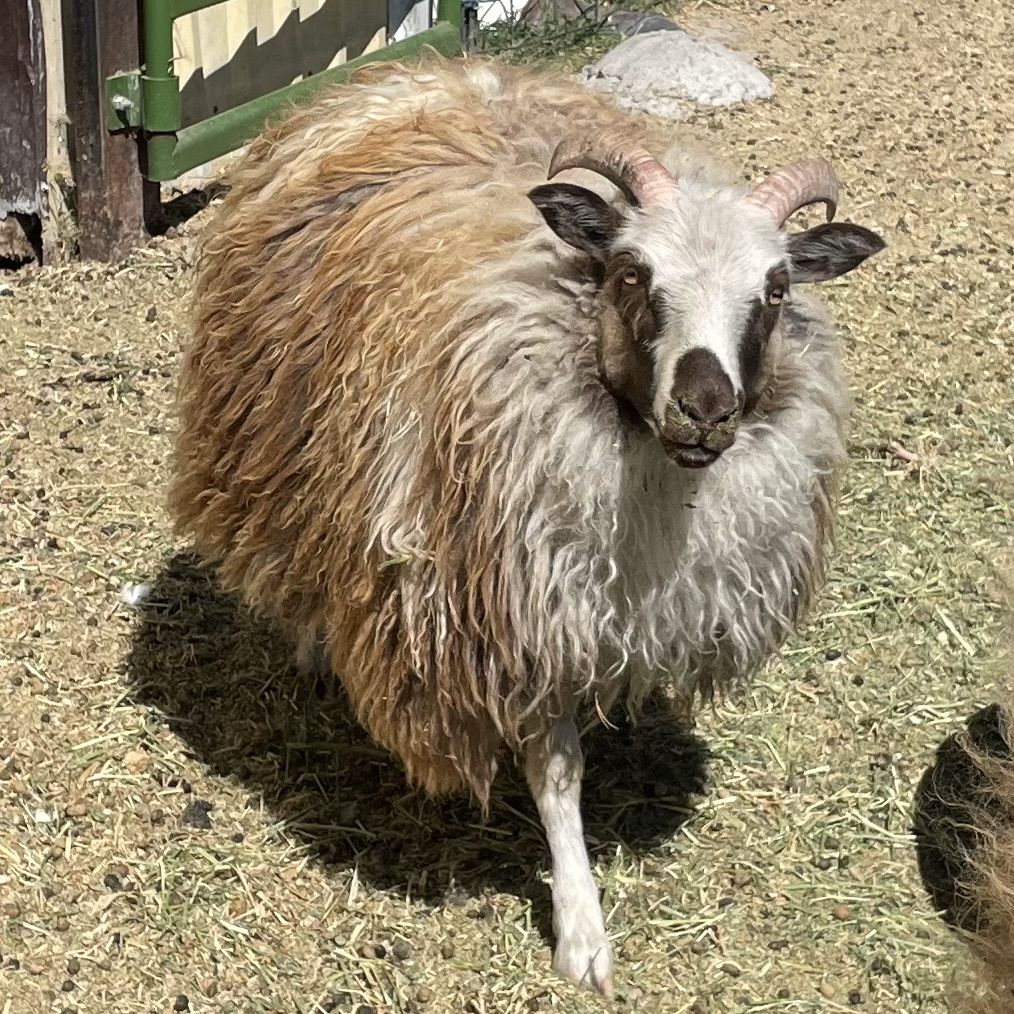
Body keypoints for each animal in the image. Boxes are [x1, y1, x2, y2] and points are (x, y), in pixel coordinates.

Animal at [169, 55, 885, 994]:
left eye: (773, 290)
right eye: (631, 273)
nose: (706, 409)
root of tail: (439, 70)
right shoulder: (516, 606)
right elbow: (557, 773)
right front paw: (582, 930)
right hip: (287, 439)